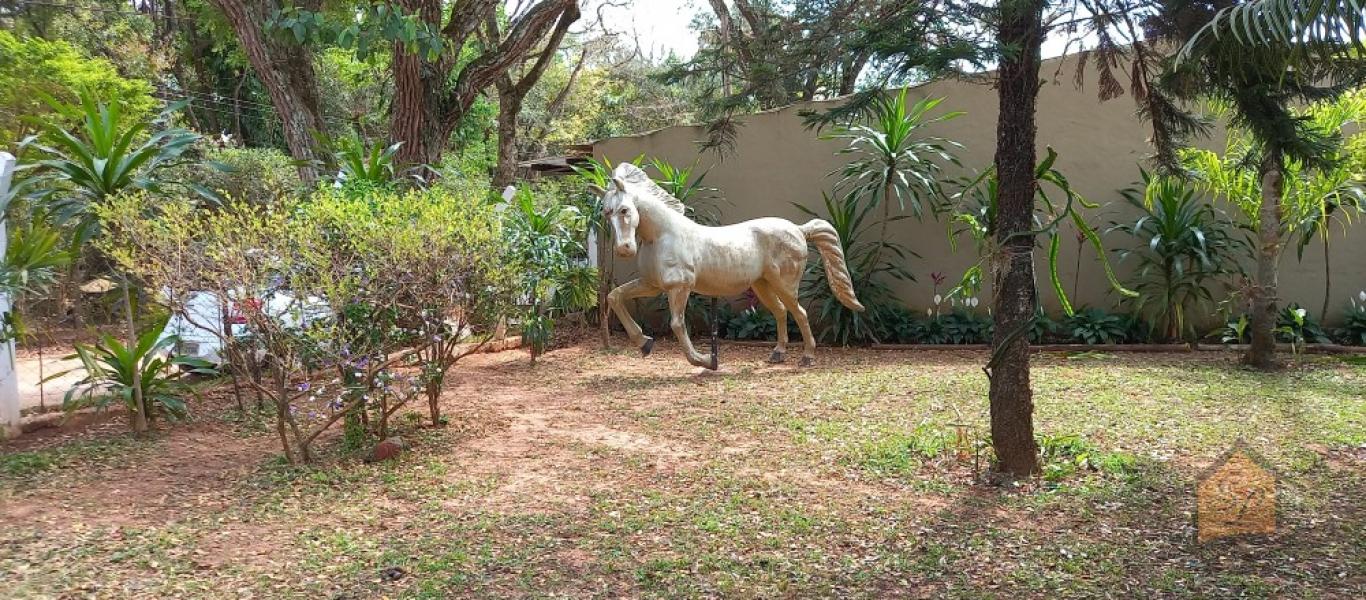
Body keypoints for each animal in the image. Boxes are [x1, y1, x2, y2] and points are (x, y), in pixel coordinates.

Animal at [590, 161, 863, 369]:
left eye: (625, 210)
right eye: (606, 213)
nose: (624, 249)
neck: (662, 235)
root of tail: (798, 230)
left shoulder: (679, 287)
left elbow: (677, 324)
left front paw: (705, 361)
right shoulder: (651, 285)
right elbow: (615, 296)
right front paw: (644, 343)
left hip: (784, 285)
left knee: (800, 313)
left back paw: (806, 358)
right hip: (763, 285)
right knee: (780, 312)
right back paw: (777, 354)